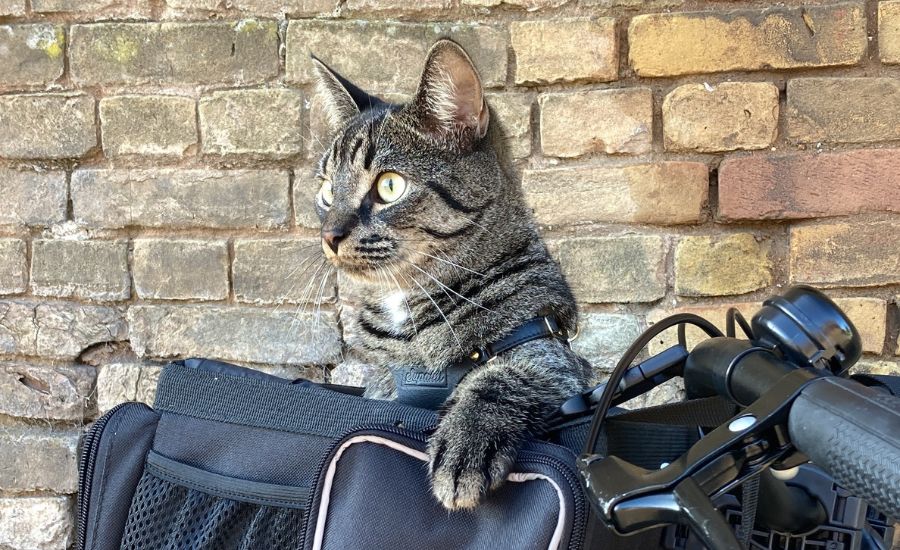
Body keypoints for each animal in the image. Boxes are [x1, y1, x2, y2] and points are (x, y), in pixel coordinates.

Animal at [310, 40, 592, 512]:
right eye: (328, 191)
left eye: (389, 186)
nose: (329, 235)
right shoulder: (382, 382)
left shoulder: (555, 358)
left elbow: (503, 376)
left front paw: (465, 443)